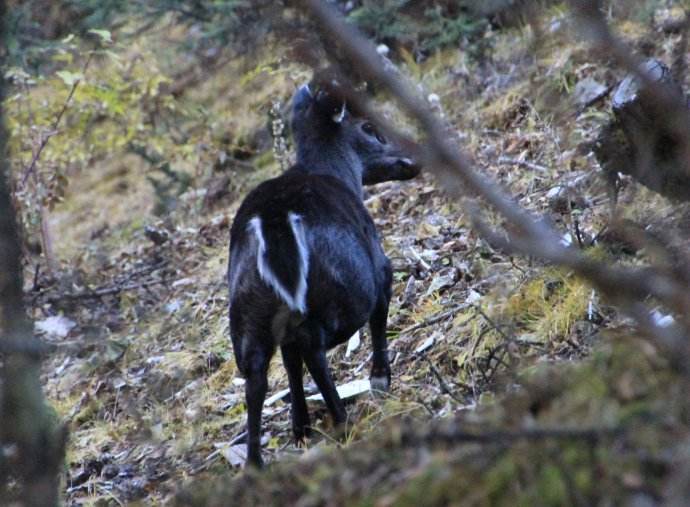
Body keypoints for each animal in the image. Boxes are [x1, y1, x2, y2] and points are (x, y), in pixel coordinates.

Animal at [226, 78, 420, 468]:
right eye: (369, 127)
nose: (413, 161)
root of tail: (274, 225)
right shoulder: (379, 267)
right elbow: (380, 315)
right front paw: (381, 380)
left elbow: (289, 363)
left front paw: (300, 426)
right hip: (341, 291)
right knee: (314, 349)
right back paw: (343, 421)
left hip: (248, 315)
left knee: (257, 374)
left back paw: (256, 462)